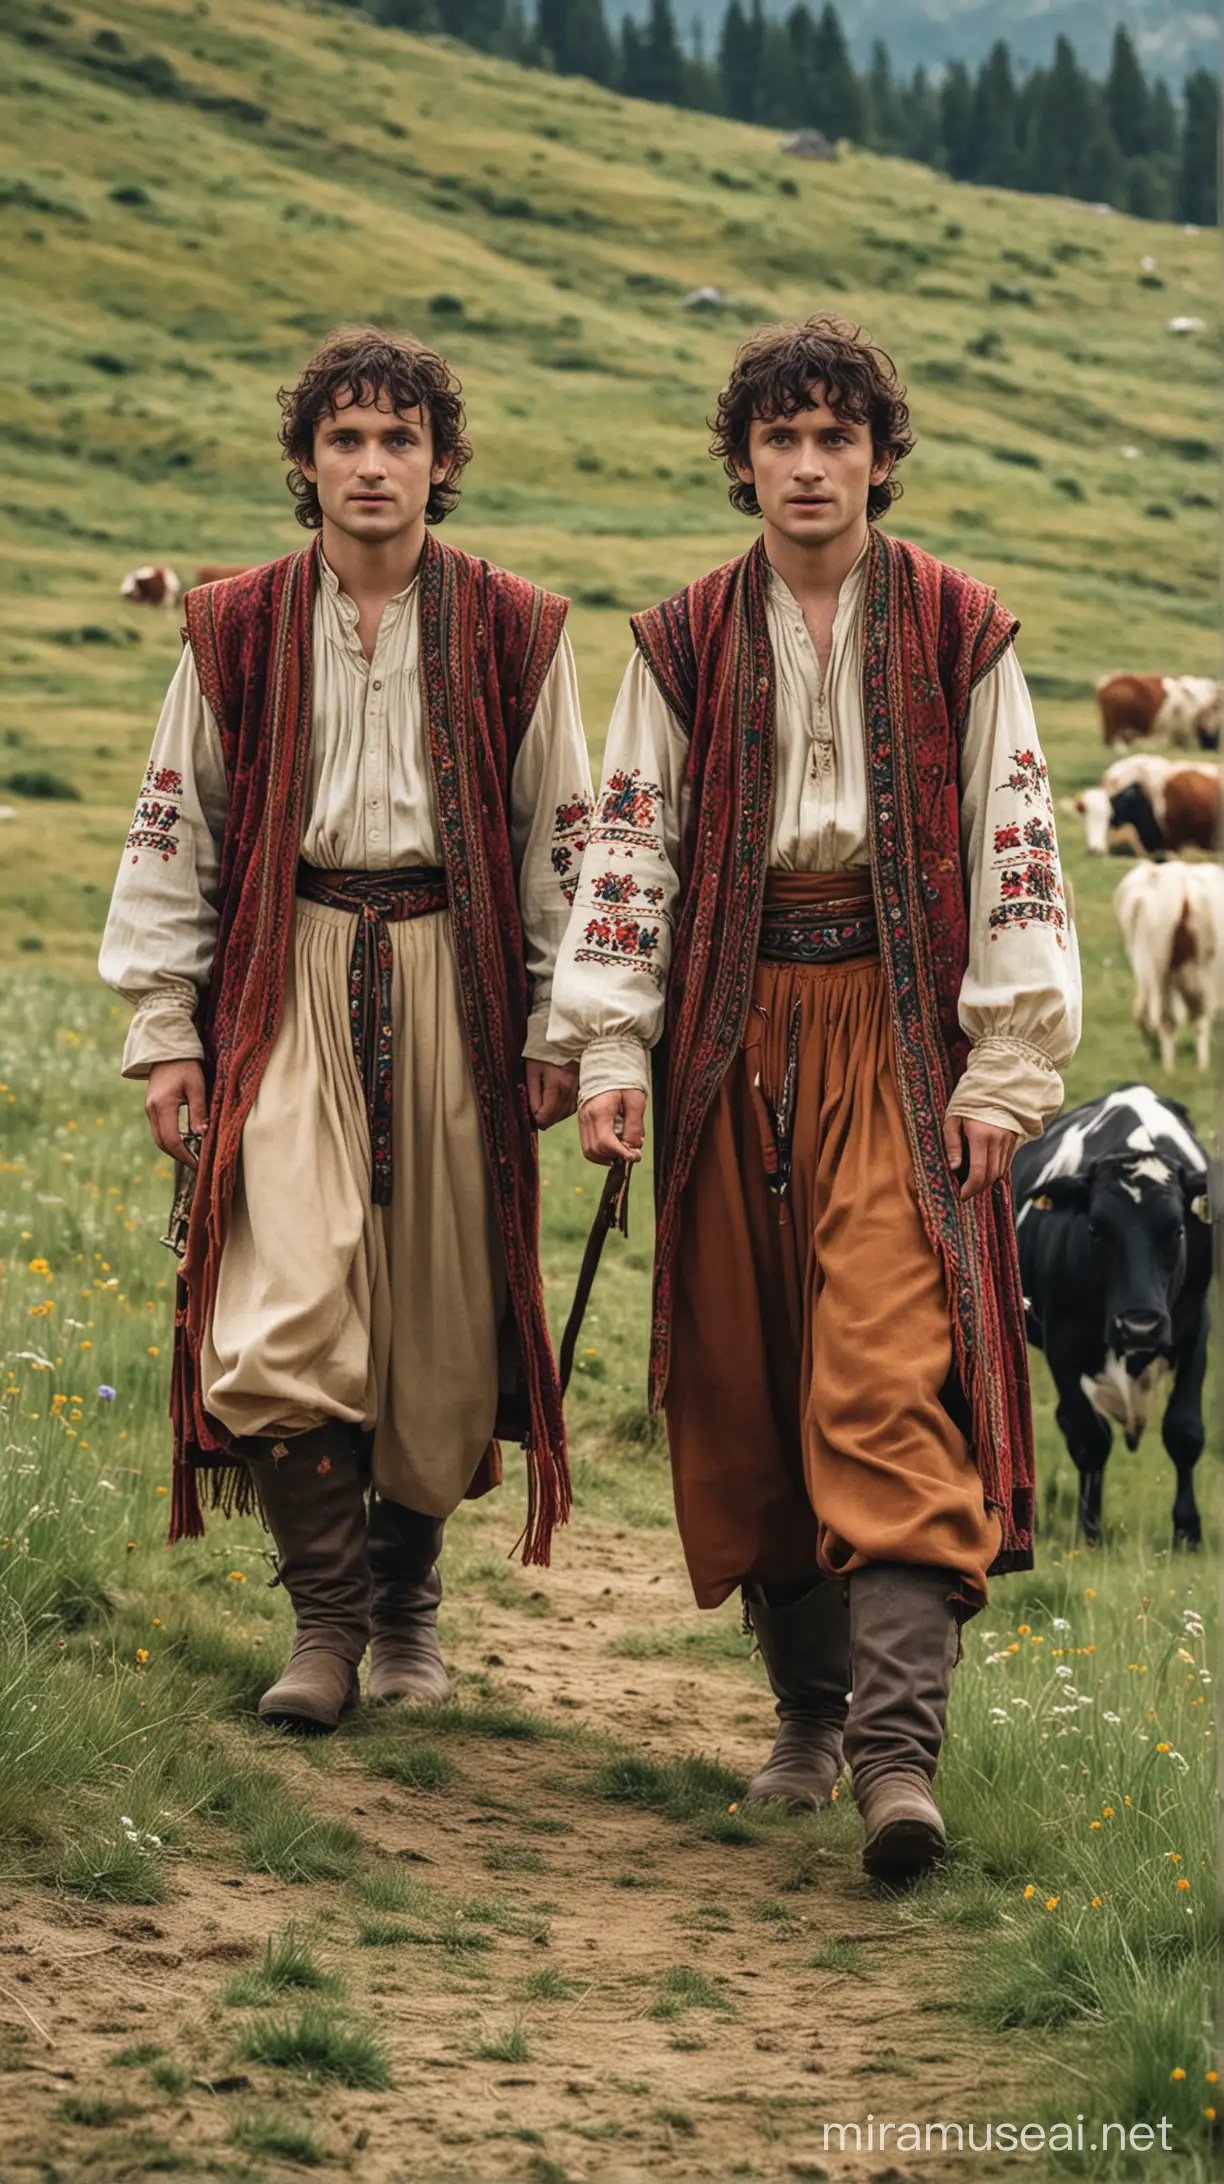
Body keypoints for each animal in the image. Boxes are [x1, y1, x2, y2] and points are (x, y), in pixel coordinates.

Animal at [1014, 1083, 1215, 1546]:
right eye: (1095, 1229)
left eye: (1177, 1230)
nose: (1139, 1325)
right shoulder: (1062, 1340)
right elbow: (1088, 1436)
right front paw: (1088, 1532)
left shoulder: (1195, 1326)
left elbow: (1185, 1430)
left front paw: (1188, 1531)